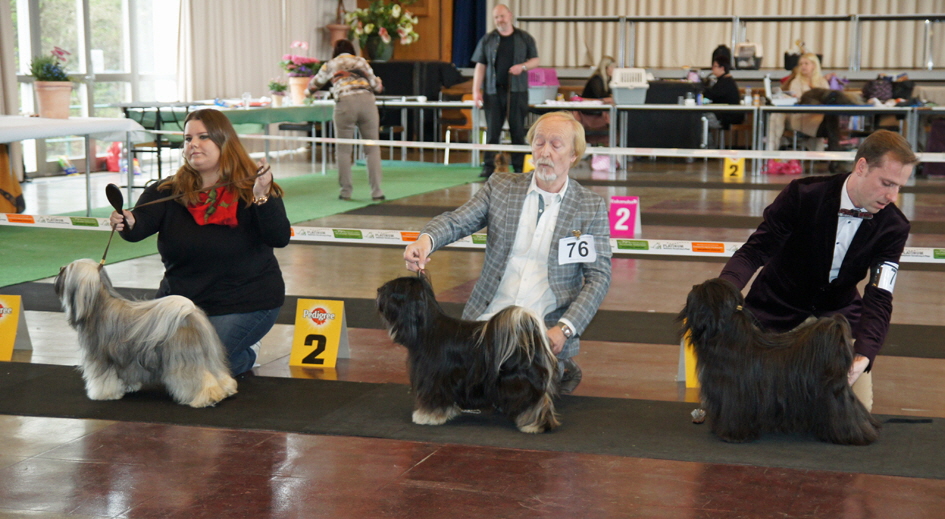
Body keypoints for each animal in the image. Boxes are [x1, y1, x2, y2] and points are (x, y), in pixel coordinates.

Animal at [54, 258, 236, 408]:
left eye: (68, 269)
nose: (60, 267)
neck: (98, 305)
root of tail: (190, 314)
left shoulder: (100, 358)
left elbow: (103, 380)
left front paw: (102, 394)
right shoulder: (127, 362)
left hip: (185, 360)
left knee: (198, 379)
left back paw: (207, 398)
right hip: (209, 354)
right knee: (218, 373)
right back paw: (227, 389)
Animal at [374, 276, 556, 434]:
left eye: (392, 289)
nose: (378, 290)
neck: (428, 329)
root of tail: (529, 334)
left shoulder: (433, 379)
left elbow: (433, 398)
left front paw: (427, 416)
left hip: (519, 380)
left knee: (535, 401)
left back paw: (534, 425)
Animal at [676, 278, 880, 444]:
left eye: (701, 292)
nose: (693, 287)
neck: (730, 339)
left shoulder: (734, 394)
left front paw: (732, 436)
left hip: (832, 395)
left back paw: (853, 435)